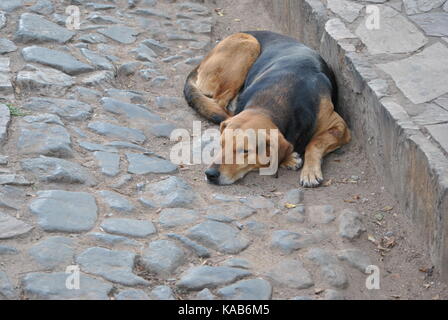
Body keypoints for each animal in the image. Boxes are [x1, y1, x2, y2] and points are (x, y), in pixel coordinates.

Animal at [184, 31, 352, 188]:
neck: (270, 104)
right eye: (222, 144)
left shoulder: (339, 126)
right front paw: (289, 159)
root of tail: (201, 63)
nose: (210, 174)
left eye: (245, 151)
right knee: (218, 102)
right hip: (249, 44)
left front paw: (310, 171)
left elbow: (314, 144)